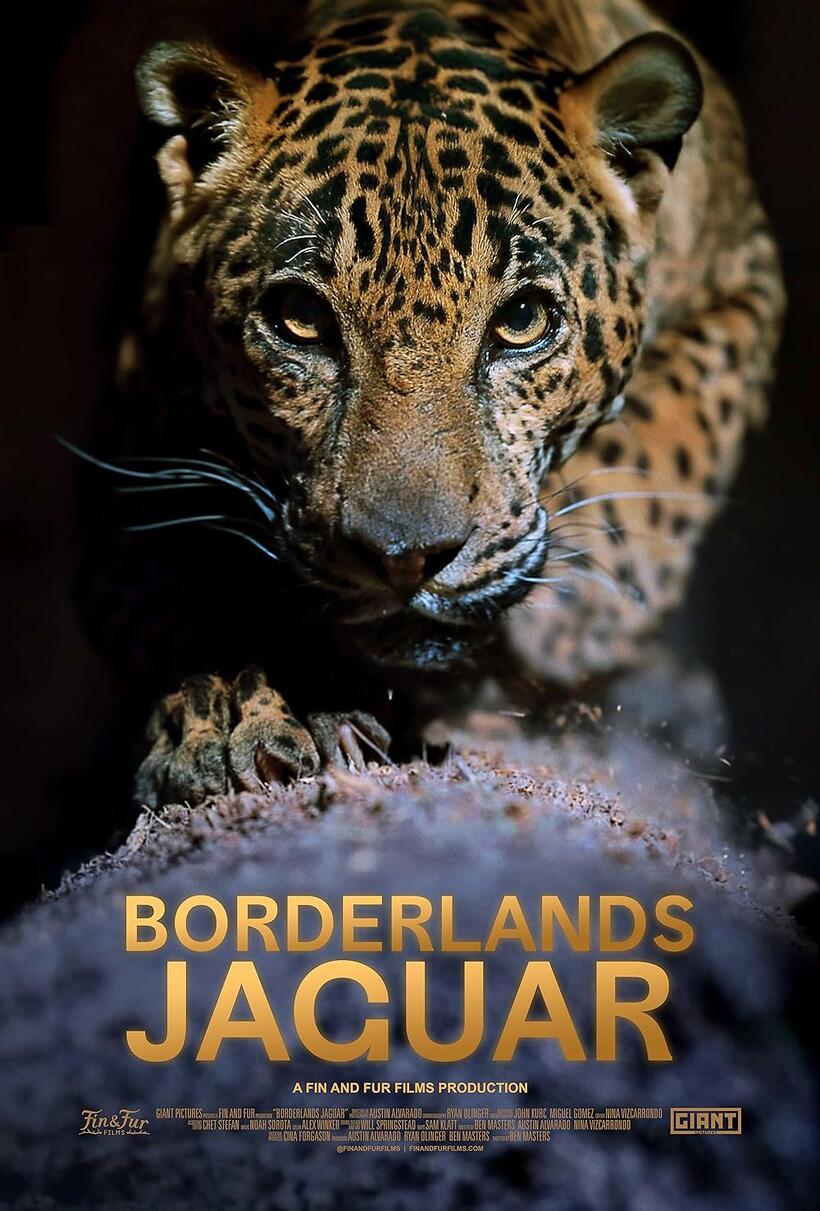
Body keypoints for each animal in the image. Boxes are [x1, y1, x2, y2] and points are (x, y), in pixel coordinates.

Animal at [79, 0, 784, 808]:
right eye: (300, 318)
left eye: (522, 320)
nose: (406, 559)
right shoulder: (129, 447)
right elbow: (175, 588)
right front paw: (232, 710)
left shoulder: (748, 280)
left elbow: (663, 441)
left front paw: (577, 613)